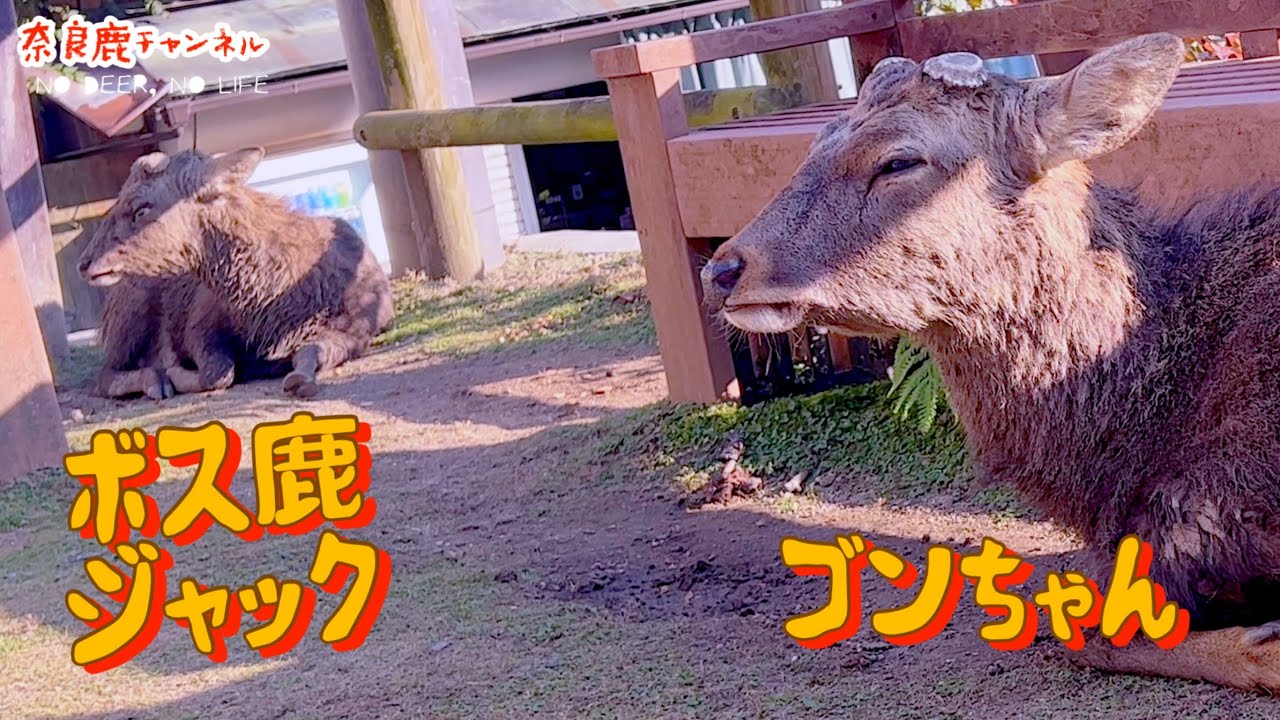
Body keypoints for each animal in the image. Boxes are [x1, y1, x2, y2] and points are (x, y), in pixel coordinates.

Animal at [79, 148, 394, 399]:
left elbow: (310, 353)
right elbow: (218, 372)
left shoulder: (357, 328)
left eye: (140, 208)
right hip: (130, 316)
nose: (84, 262)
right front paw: (176, 372)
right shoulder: (199, 323)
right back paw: (155, 380)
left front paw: (298, 380)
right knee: (104, 376)